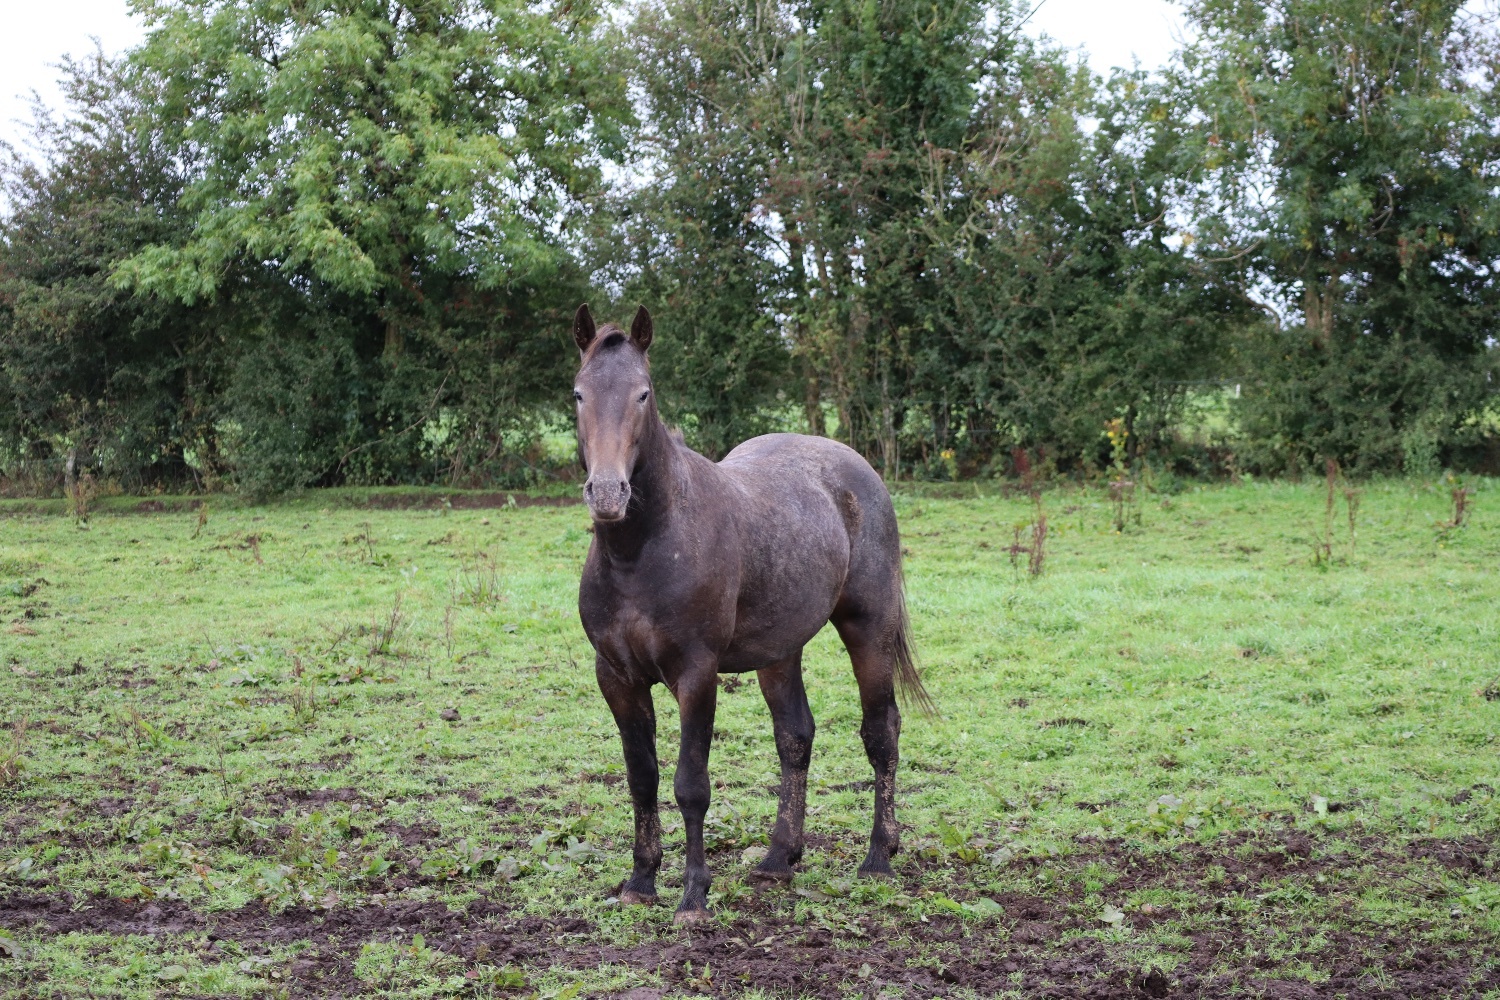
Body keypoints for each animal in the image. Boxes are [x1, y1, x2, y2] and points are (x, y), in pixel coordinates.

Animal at [571, 304, 930, 923]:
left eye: (643, 394)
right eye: (578, 394)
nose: (609, 493)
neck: (641, 551)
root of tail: (854, 465)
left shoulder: (695, 674)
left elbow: (690, 783)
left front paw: (694, 895)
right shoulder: (615, 676)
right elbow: (642, 778)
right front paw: (641, 881)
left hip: (869, 628)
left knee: (881, 730)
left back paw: (878, 857)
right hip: (779, 650)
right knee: (795, 736)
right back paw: (778, 857)